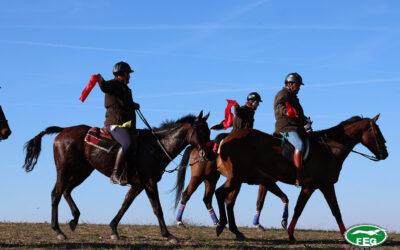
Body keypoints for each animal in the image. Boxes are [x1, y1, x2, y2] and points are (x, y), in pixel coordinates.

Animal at [23, 111, 212, 242]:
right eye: (200, 131)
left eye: (209, 131)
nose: (209, 154)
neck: (156, 146)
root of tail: (63, 131)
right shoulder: (150, 183)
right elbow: (157, 209)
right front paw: (168, 235)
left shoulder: (138, 185)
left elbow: (125, 205)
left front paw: (114, 229)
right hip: (64, 170)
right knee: (56, 194)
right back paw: (58, 230)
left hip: (82, 171)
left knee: (66, 191)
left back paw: (74, 219)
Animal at [216, 114, 388, 240]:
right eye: (377, 133)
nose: (385, 154)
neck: (329, 149)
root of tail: (228, 138)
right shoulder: (309, 186)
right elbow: (298, 209)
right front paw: (290, 234)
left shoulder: (326, 185)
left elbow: (336, 210)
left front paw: (346, 235)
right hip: (236, 177)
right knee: (220, 194)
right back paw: (220, 225)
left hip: (238, 179)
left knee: (228, 200)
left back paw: (234, 230)